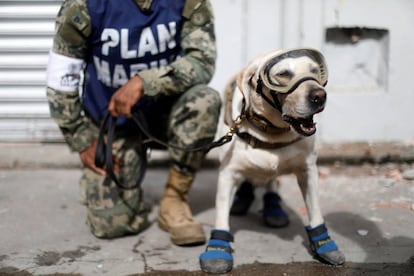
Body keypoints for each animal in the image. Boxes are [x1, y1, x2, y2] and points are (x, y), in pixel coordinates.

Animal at [199, 48, 344, 272]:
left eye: (314, 71)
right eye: (283, 74)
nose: (319, 95)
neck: (272, 133)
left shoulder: (309, 171)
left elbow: (315, 212)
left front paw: (324, 244)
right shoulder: (227, 174)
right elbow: (221, 214)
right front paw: (217, 249)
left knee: (271, 182)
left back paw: (273, 206)